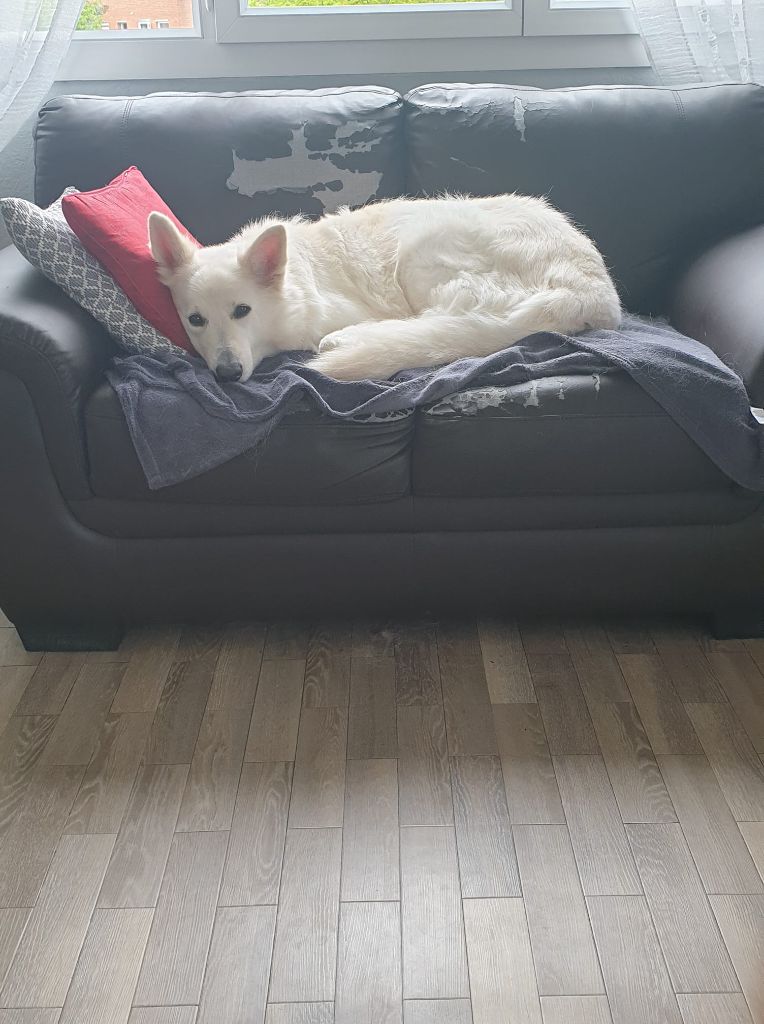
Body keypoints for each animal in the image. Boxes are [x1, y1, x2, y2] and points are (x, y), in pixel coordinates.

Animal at [148, 194, 621, 382]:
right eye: (195, 320)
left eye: (242, 311)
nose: (227, 375)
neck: (292, 289)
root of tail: (593, 290)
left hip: (422, 244)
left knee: (442, 324)